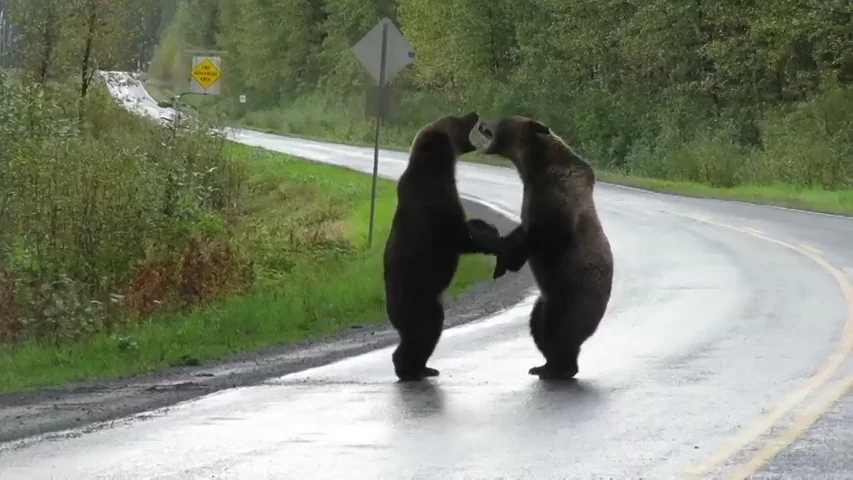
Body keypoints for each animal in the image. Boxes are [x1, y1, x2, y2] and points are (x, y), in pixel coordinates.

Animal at [466, 115, 612, 378]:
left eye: (502, 119)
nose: (482, 121)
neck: (533, 167)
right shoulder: (532, 196)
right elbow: (522, 231)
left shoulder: (558, 196)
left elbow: (545, 233)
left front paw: (499, 248)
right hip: (546, 299)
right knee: (537, 323)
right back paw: (544, 365)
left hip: (574, 296)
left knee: (559, 328)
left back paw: (558, 367)